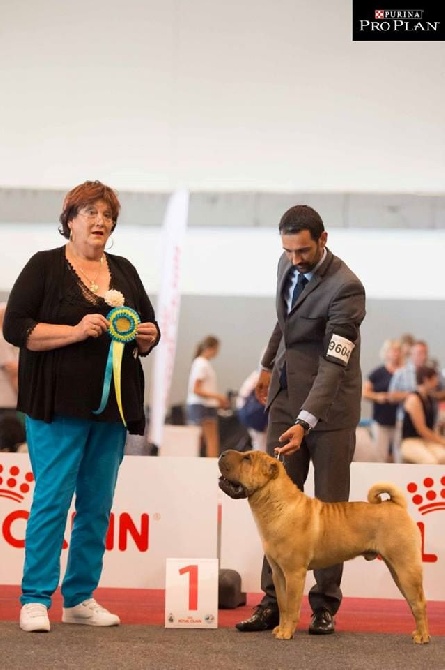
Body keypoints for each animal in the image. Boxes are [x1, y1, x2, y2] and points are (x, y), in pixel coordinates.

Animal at [217, 452, 428, 644]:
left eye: (247, 459)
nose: (222, 453)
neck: (277, 505)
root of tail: (396, 505)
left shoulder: (294, 573)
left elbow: (292, 606)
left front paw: (286, 632)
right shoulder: (279, 574)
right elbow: (283, 604)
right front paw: (280, 629)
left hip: (406, 568)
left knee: (419, 603)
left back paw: (422, 636)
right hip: (398, 571)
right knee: (413, 602)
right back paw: (417, 632)